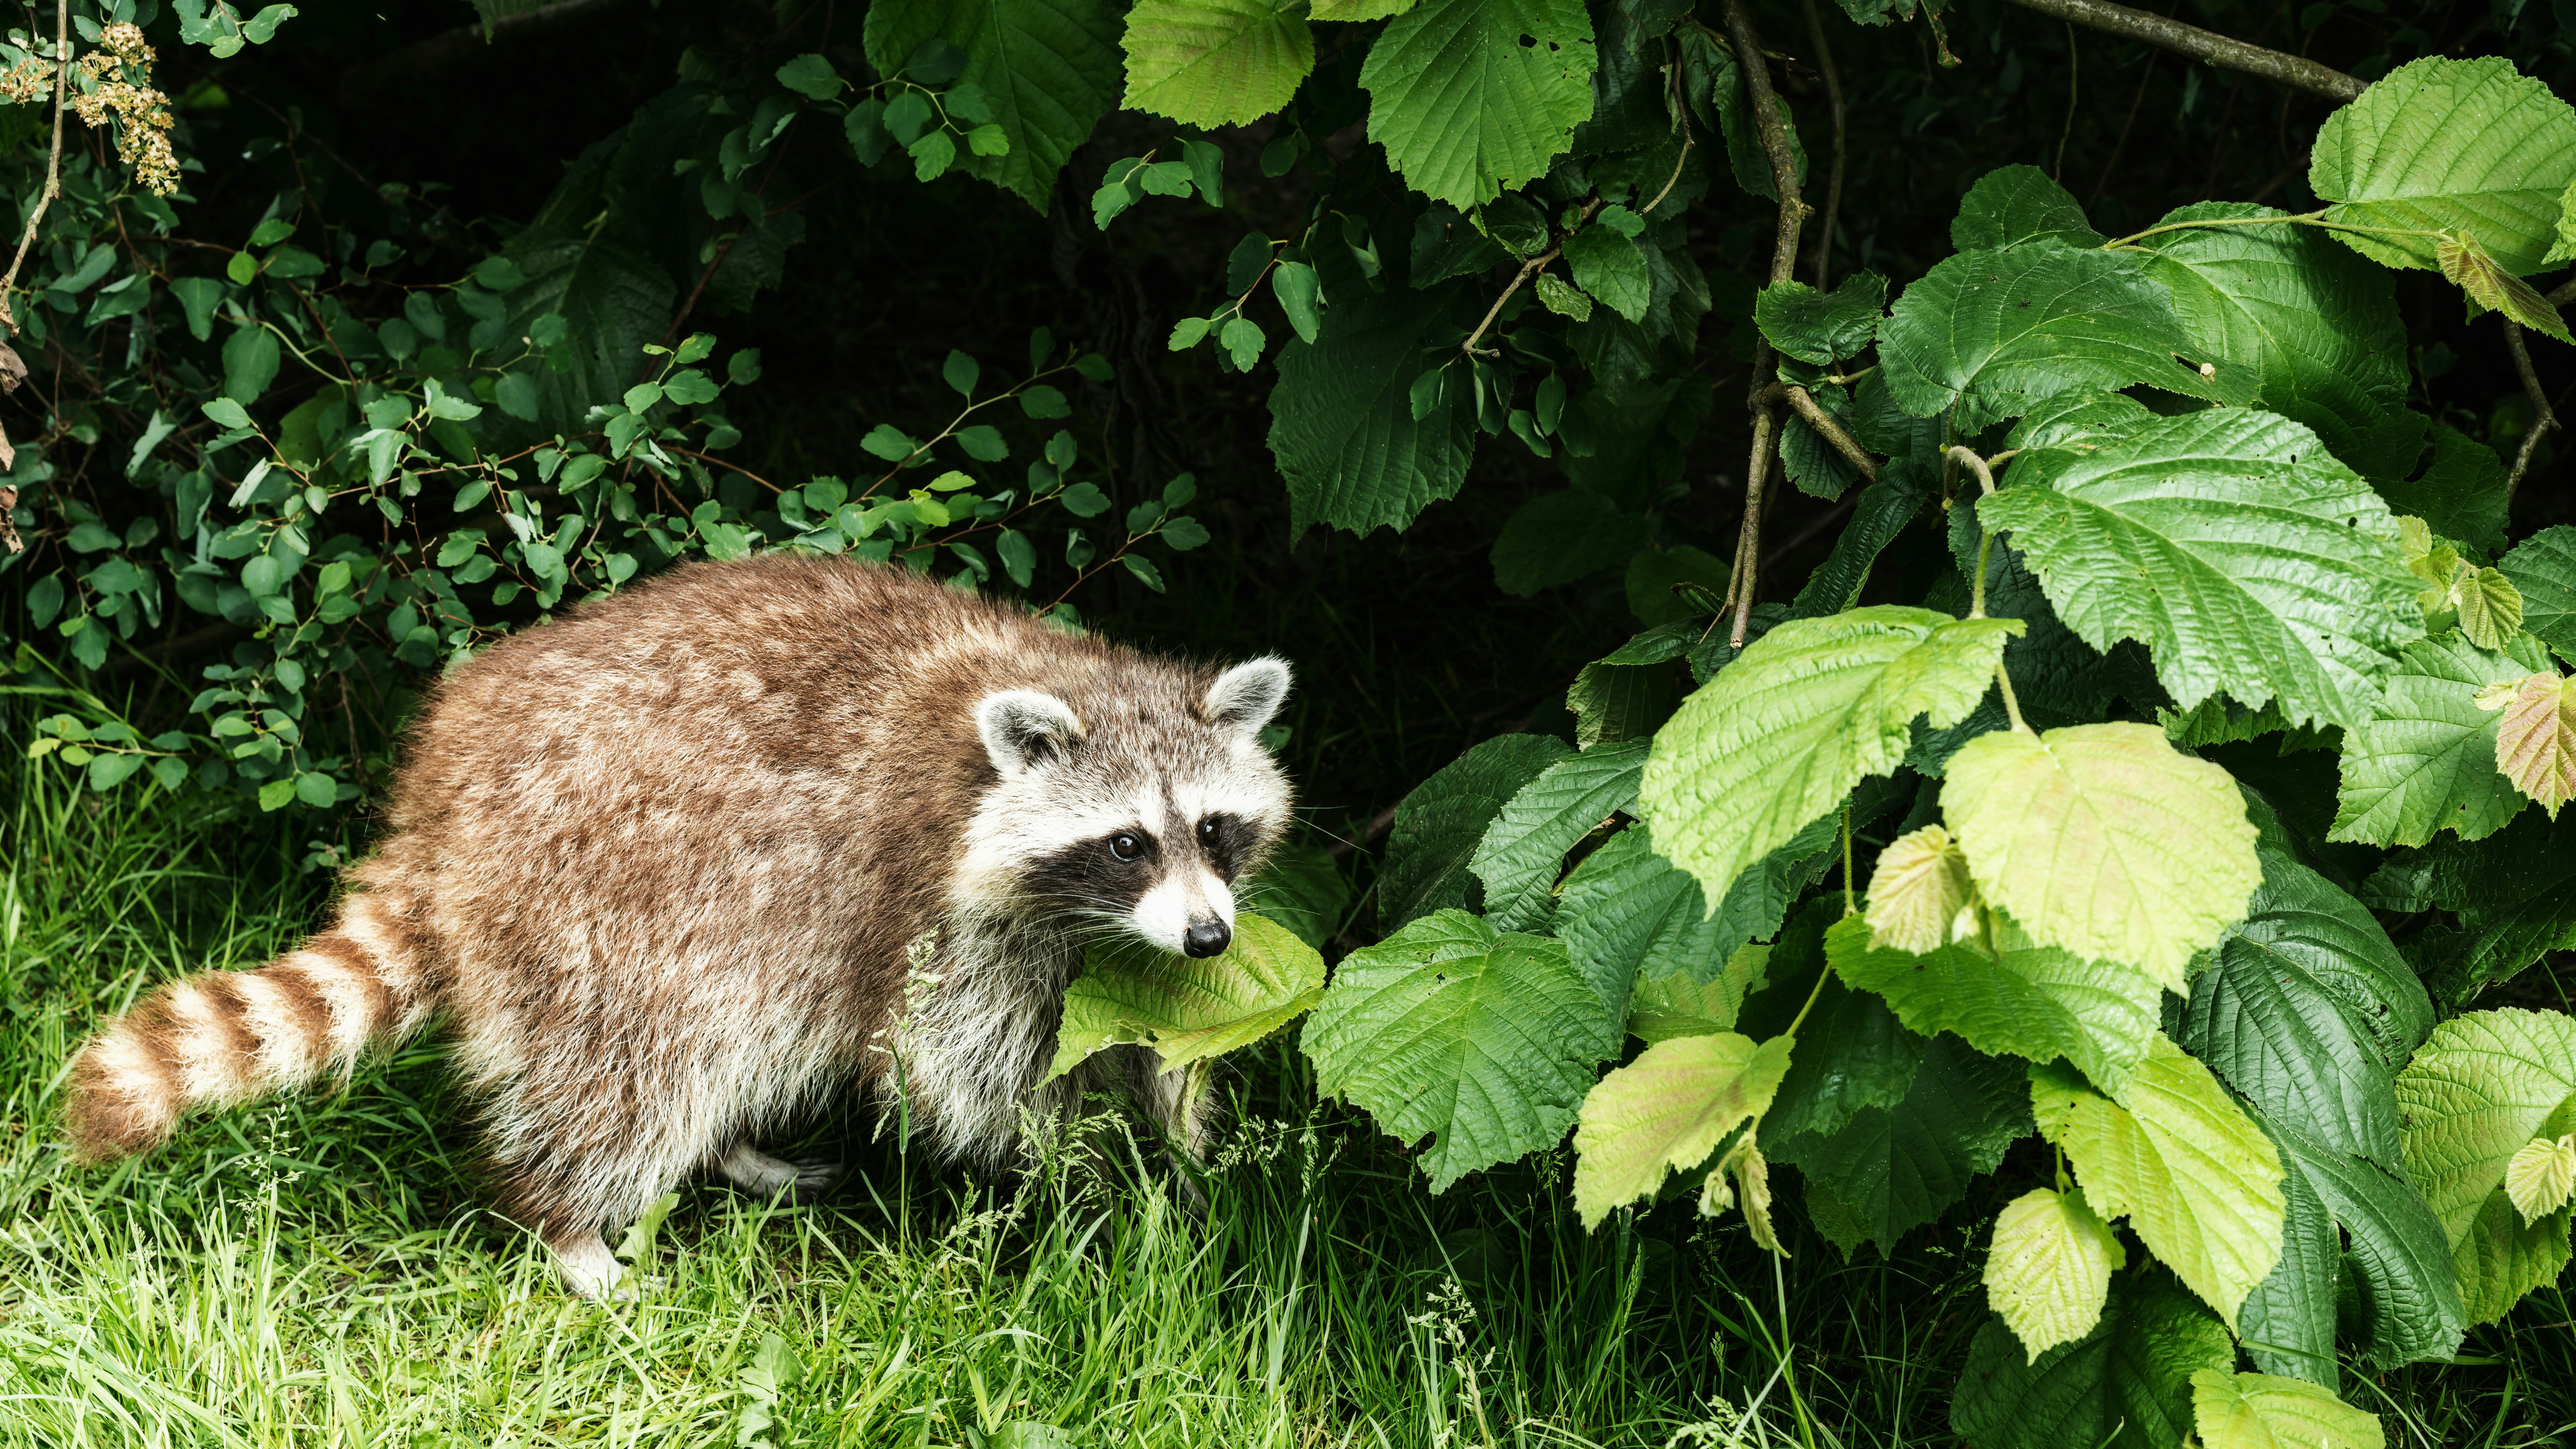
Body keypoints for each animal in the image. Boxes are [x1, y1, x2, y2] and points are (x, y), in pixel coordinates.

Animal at [64, 555, 1295, 1296]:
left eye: (1214, 829)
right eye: (1128, 843)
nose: (1209, 940)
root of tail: (443, 797)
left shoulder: (1106, 947)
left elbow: (1154, 1037)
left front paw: (1181, 1150)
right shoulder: (936, 907)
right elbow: (970, 1070)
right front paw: (1090, 1177)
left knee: (730, 1035)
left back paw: (729, 1150)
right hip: (612, 891)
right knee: (632, 1066)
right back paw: (566, 1225)